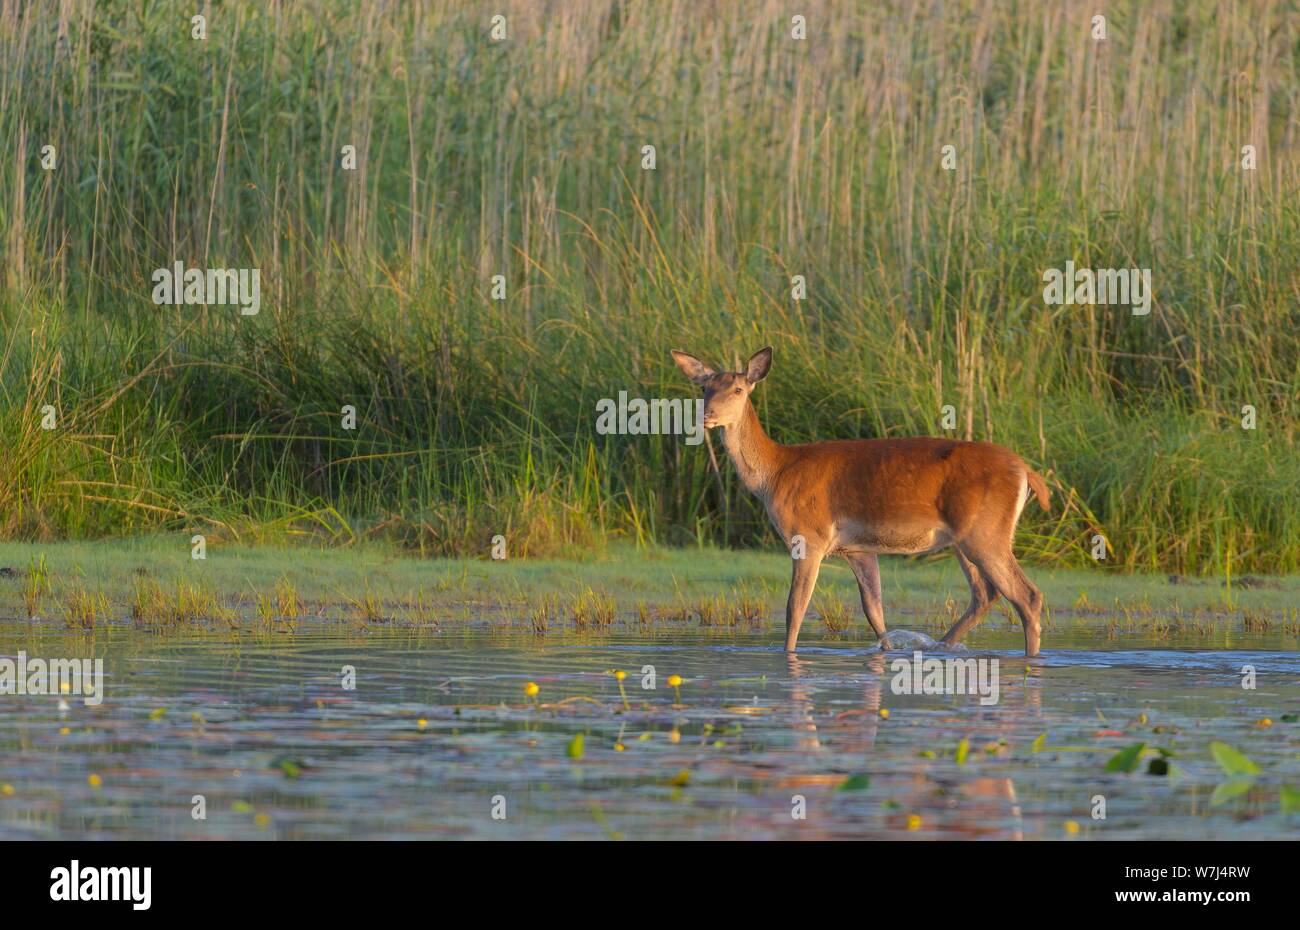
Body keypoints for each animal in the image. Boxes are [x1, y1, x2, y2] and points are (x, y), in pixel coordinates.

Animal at [676, 345, 1050, 658]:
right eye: (705, 387)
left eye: (738, 389)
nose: (706, 414)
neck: (775, 474)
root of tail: (1026, 471)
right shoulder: (857, 549)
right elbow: (874, 611)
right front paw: (885, 651)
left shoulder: (808, 536)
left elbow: (795, 608)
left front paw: (788, 654)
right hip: (963, 539)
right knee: (985, 594)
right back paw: (941, 646)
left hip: (985, 531)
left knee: (1027, 595)